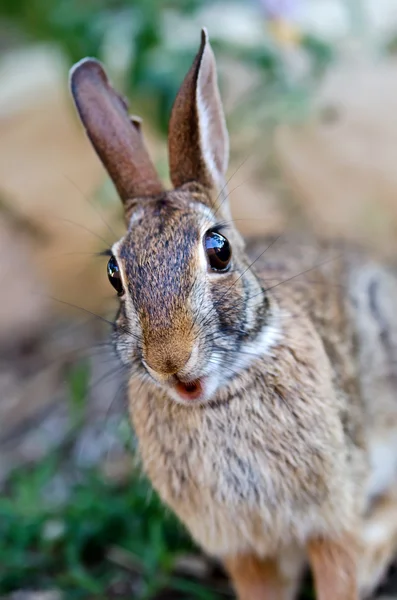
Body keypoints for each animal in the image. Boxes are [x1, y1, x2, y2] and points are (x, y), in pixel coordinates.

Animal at [69, 29, 396, 600]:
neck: (218, 398)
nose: (170, 362)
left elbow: (339, 571)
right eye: (113, 273)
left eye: (218, 250)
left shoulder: (330, 518)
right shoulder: (243, 547)